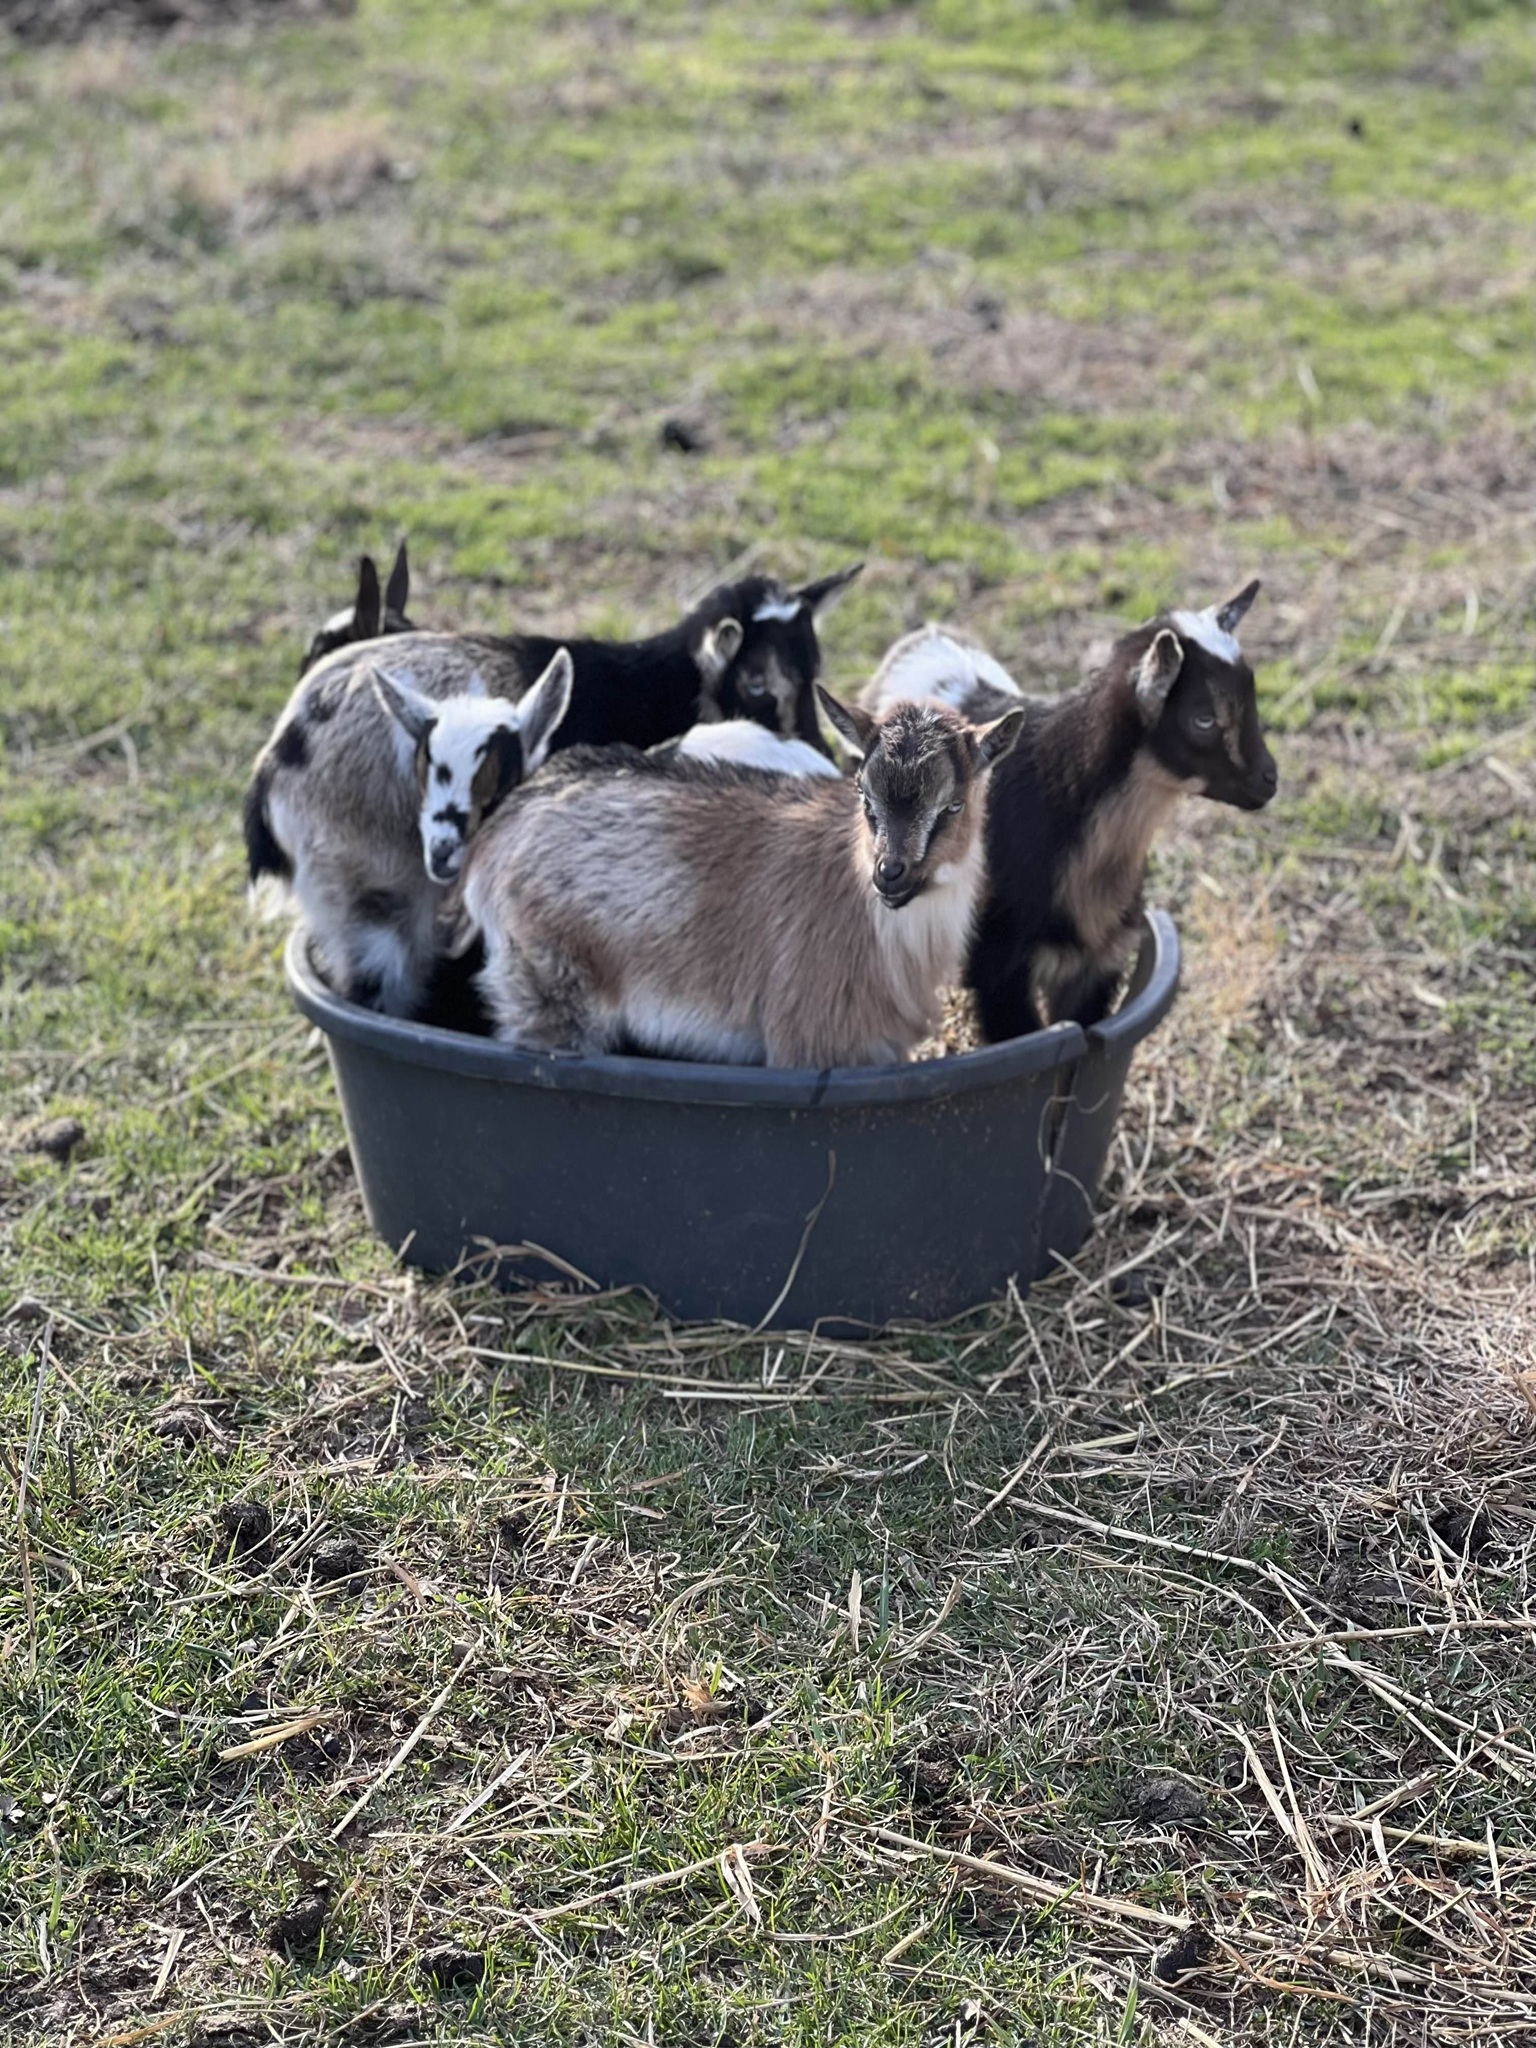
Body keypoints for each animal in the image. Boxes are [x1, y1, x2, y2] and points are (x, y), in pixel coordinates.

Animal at [458, 685, 1024, 1069]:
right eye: (864, 796)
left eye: (952, 806)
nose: (889, 875)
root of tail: (500, 832)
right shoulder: (806, 1043)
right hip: (548, 985)